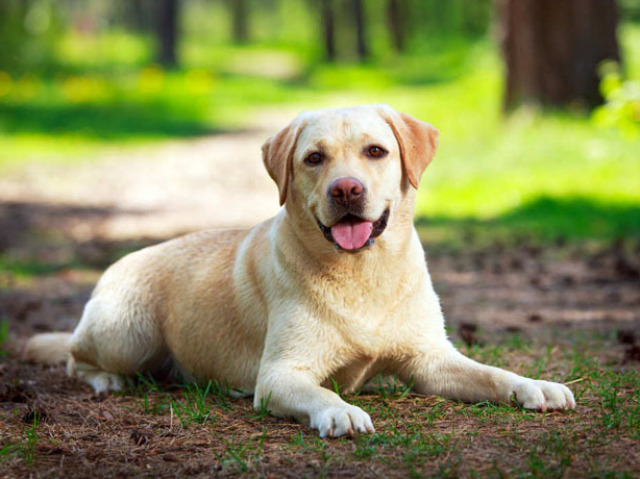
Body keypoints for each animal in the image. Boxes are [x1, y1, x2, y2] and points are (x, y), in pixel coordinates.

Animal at [25, 105, 576, 438]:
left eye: (376, 151)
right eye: (314, 158)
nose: (346, 189)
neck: (362, 273)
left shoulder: (430, 360)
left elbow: (491, 372)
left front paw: (535, 385)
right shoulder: (280, 374)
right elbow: (320, 389)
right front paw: (341, 409)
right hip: (127, 333)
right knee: (75, 358)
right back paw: (106, 380)